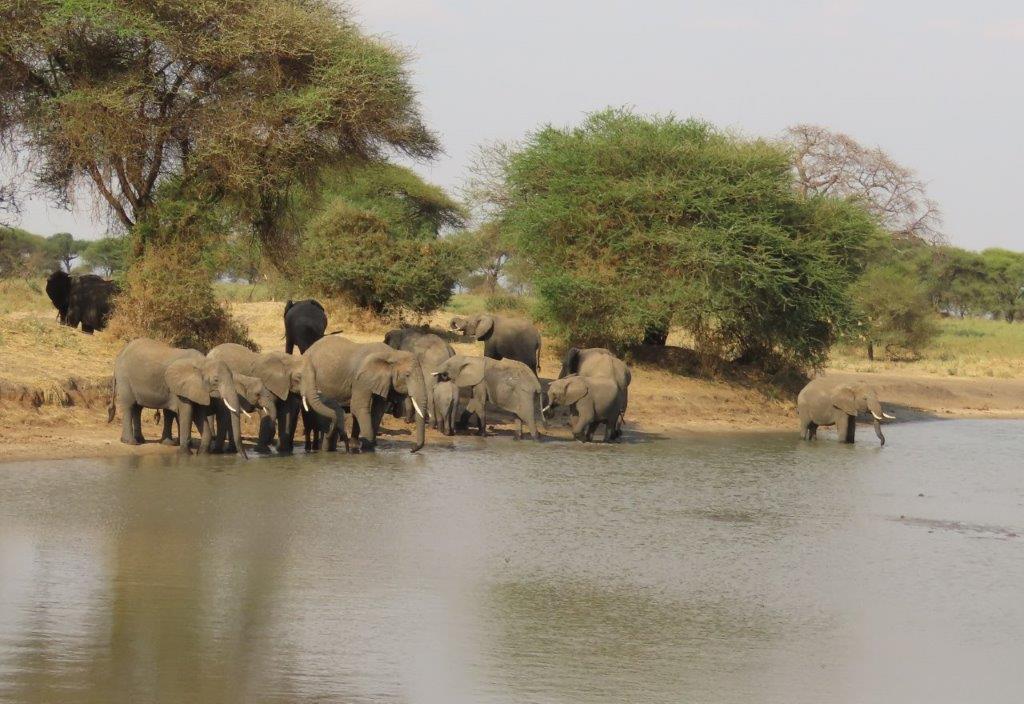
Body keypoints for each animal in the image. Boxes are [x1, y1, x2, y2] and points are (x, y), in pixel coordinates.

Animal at [108, 338, 246, 456]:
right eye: (216, 380)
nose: (244, 458)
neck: (202, 362)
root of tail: (121, 353)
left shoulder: (196, 389)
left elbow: (198, 413)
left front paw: (202, 454)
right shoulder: (183, 388)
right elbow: (187, 412)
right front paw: (185, 454)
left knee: (138, 408)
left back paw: (148, 441)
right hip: (124, 378)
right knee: (129, 405)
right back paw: (131, 442)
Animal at [301, 336, 429, 453]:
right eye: (407, 375)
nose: (412, 449)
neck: (392, 354)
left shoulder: (382, 381)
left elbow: (378, 410)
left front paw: (368, 446)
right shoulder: (362, 379)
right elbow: (359, 407)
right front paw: (367, 449)